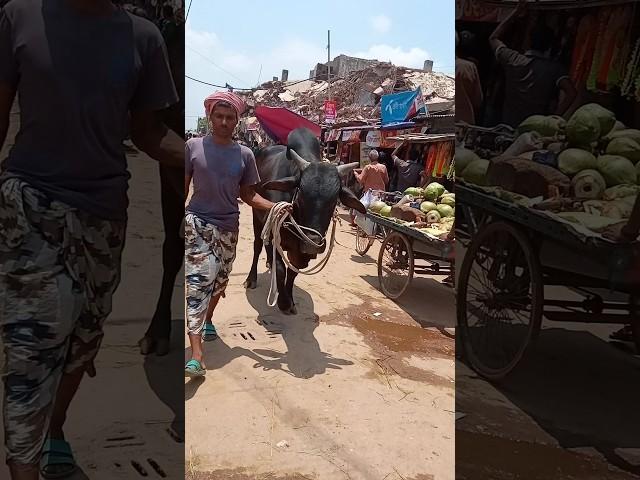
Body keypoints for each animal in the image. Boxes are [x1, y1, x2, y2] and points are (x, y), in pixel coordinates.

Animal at [245, 127, 364, 316]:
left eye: (334, 199)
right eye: (300, 192)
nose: (312, 243)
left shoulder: (301, 252)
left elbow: (293, 272)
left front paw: (290, 300)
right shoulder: (273, 232)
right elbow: (281, 269)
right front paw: (283, 302)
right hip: (256, 215)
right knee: (257, 245)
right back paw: (251, 278)